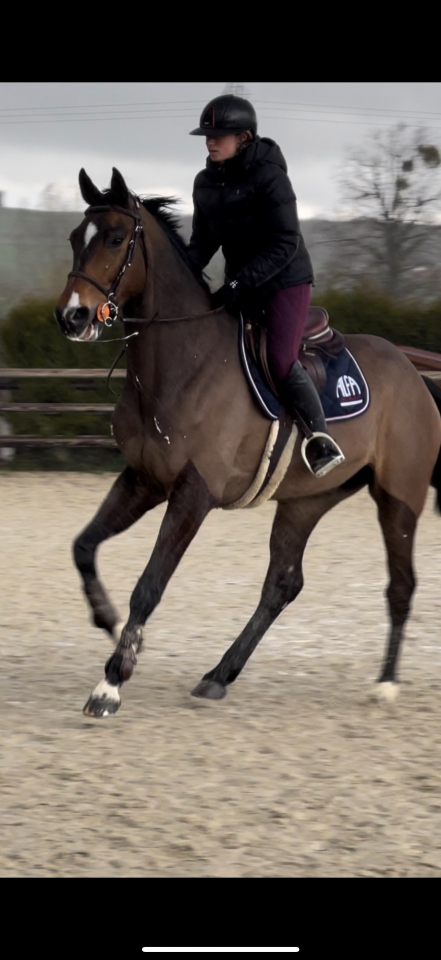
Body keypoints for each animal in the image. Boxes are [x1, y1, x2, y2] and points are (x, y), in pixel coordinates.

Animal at [54, 166, 441, 719]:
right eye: (74, 238)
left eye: (114, 238)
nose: (72, 317)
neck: (182, 362)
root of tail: (414, 373)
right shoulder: (143, 481)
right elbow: (84, 547)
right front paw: (108, 621)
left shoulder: (192, 494)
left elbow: (150, 585)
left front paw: (112, 681)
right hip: (307, 500)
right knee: (282, 584)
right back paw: (219, 675)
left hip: (398, 497)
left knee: (401, 584)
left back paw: (386, 682)